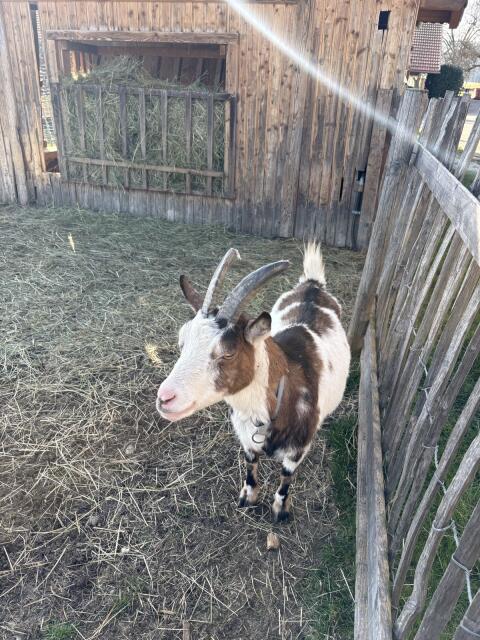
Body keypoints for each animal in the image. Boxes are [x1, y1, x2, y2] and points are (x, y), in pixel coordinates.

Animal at [156, 244, 350, 522]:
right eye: (182, 341)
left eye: (228, 352)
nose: (165, 398)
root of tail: (313, 284)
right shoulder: (245, 436)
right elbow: (250, 463)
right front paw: (248, 495)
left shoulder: (298, 449)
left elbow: (286, 476)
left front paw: (280, 508)